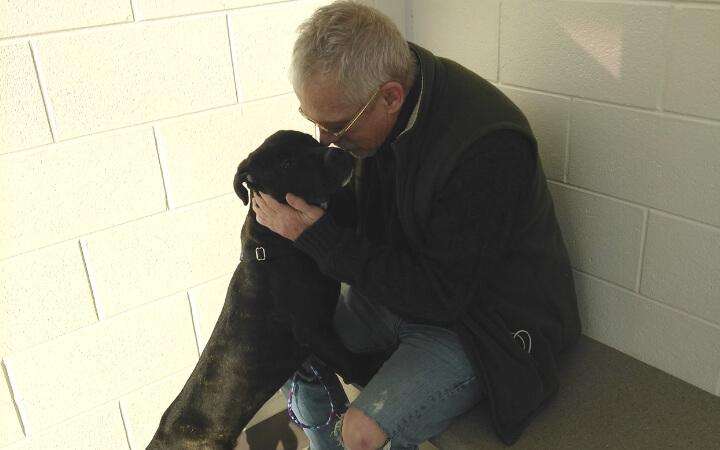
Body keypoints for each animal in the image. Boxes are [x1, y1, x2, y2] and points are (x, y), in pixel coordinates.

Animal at [147, 130, 382, 450]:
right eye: (286, 164)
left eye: (311, 141)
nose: (335, 153)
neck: (274, 244)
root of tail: (161, 438)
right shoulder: (313, 330)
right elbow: (347, 359)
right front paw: (372, 370)